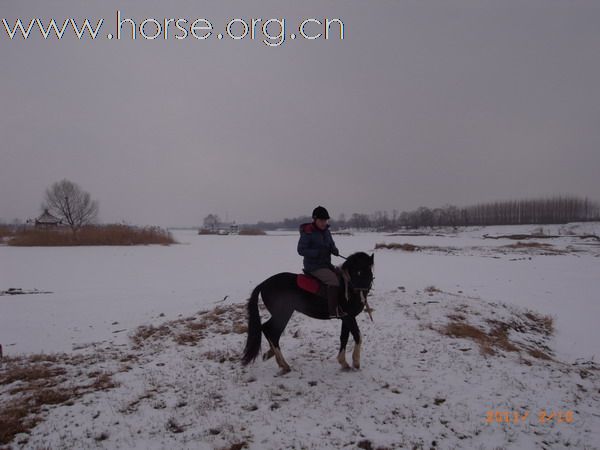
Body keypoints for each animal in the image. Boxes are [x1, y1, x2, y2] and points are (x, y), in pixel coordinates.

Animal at [240, 253, 372, 372]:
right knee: (271, 332)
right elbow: (358, 336)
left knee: (269, 331)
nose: (361, 298)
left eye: (369, 273)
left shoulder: (346, 318)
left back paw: (274, 357)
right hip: (283, 314)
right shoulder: (349, 317)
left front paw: (343, 362)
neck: (346, 286)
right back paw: (284, 364)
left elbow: (344, 337)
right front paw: (356, 362)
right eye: (357, 272)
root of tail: (264, 284)